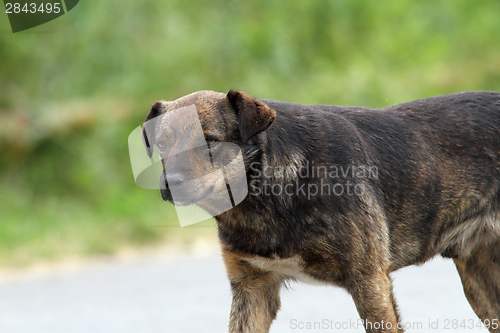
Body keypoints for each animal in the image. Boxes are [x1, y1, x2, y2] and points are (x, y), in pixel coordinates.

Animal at [141, 89, 500, 330]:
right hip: (480, 284)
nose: (169, 183)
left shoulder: (370, 283)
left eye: (210, 141)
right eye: (162, 144)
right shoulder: (252, 290)